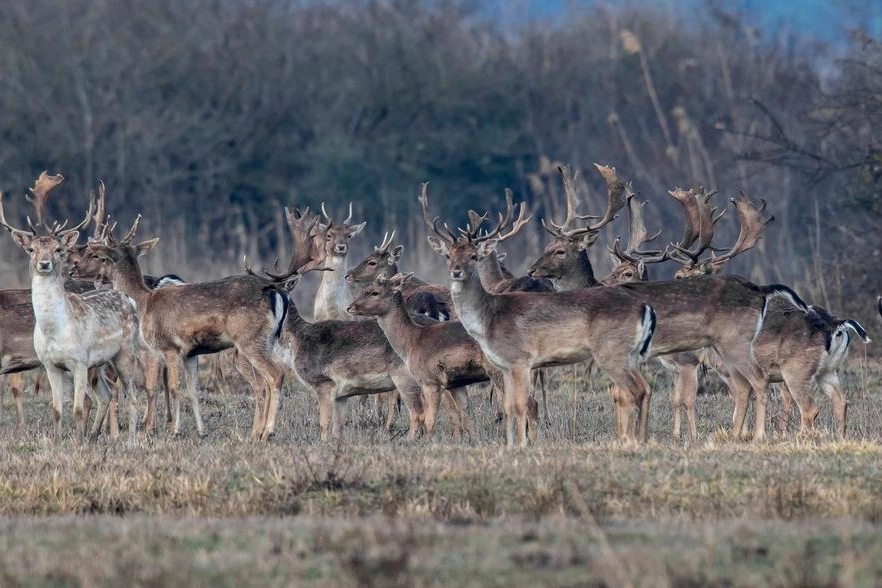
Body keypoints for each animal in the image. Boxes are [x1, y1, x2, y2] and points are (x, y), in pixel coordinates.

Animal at [0, 175, 144, 446]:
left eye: (58, 249)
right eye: (31, 249)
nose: (44, 263)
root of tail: (127, 298)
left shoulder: (77, 362)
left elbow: (76, 407)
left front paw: (77, 443)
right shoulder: (50, 365)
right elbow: (56, 409)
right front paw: (57, 444)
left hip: (121, 354)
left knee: (124, 394)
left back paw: (125, 439)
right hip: (99, 364)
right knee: (106, 394)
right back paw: (96, 435)